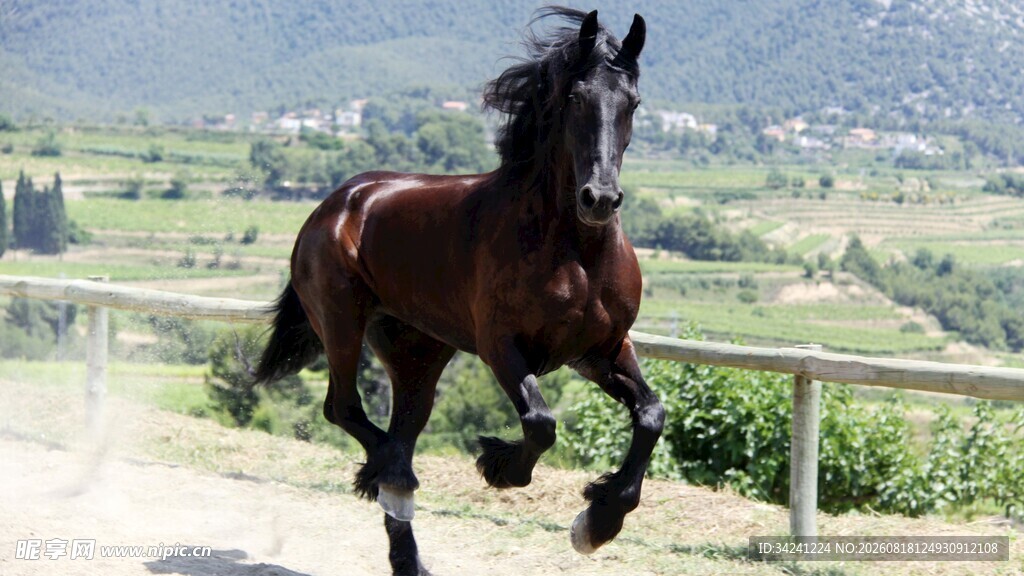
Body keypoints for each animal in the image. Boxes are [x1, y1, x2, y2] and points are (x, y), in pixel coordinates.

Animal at [254, 8, 663, 575]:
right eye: (576, 97)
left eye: (633, 103)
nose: (599, 199)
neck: (576, 252)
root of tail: (337, 202)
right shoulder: (502, 348)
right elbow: (540, 422)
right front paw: (499, 465)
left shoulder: (600, 351)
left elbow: (650, 416)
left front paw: (598, 523)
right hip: (341, 323)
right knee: (346, 410)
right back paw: (391, 478)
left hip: (417, 353)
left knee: (398, 429)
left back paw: (406, 547)